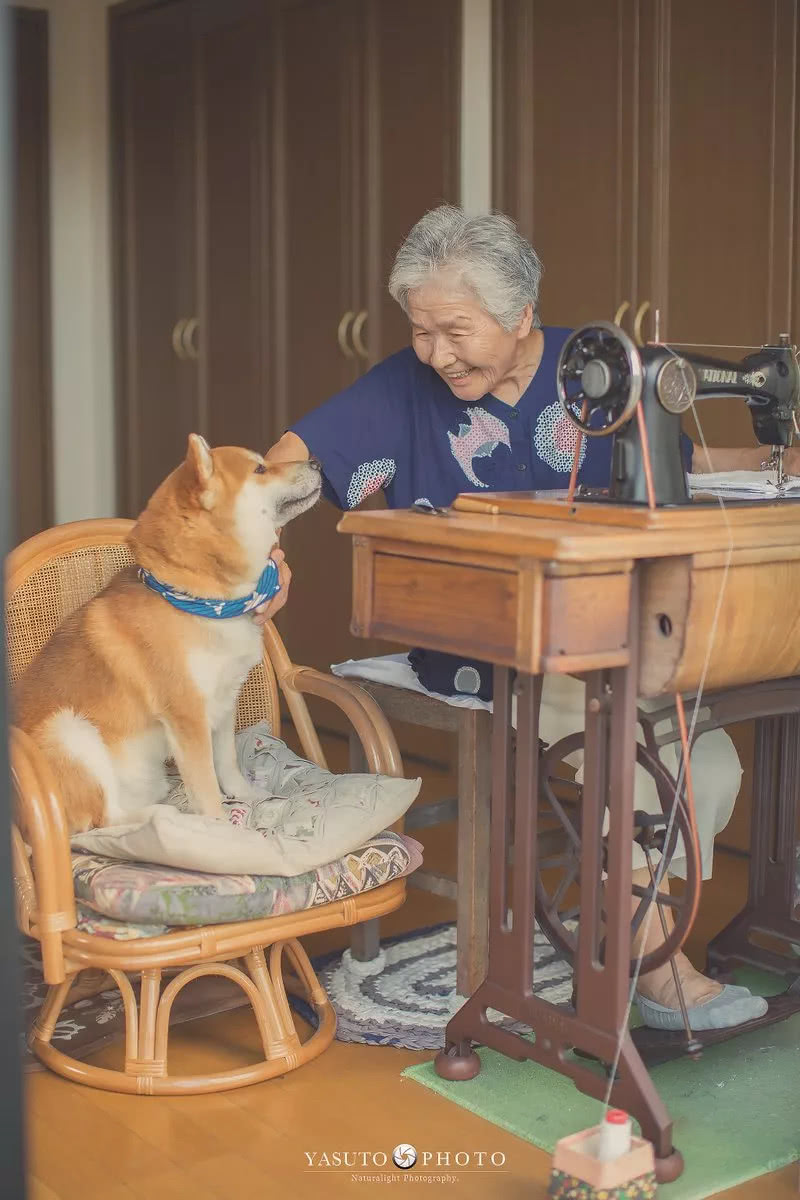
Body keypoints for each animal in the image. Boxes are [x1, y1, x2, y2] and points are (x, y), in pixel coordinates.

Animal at [11, 434, 319, 835]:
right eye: (260, 469)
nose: (316, 463)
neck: (199, 602)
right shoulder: (187, 716)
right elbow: (207, 788)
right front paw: (222, 830)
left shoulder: (223, 702)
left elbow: (227, 766)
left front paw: (248, 797)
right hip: (68, 732)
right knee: (105, 820)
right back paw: (164, 818)